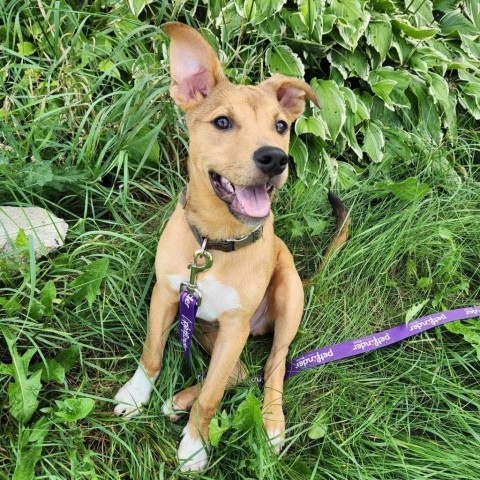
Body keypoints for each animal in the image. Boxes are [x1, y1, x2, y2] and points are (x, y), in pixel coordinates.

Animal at [113, 23, 348, 472]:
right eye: (222, 122)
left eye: (280, 126)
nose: (274, 159)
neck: (216, 244)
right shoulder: (167, 295)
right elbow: (152, 353)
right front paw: (137, 394)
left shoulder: (235, 326)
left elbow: (214, 394)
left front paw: (196, 445)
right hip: (208, 328)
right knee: (239, 373)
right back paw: (178, 400)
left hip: (285, 300)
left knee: (272, 368)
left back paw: (270, 423)